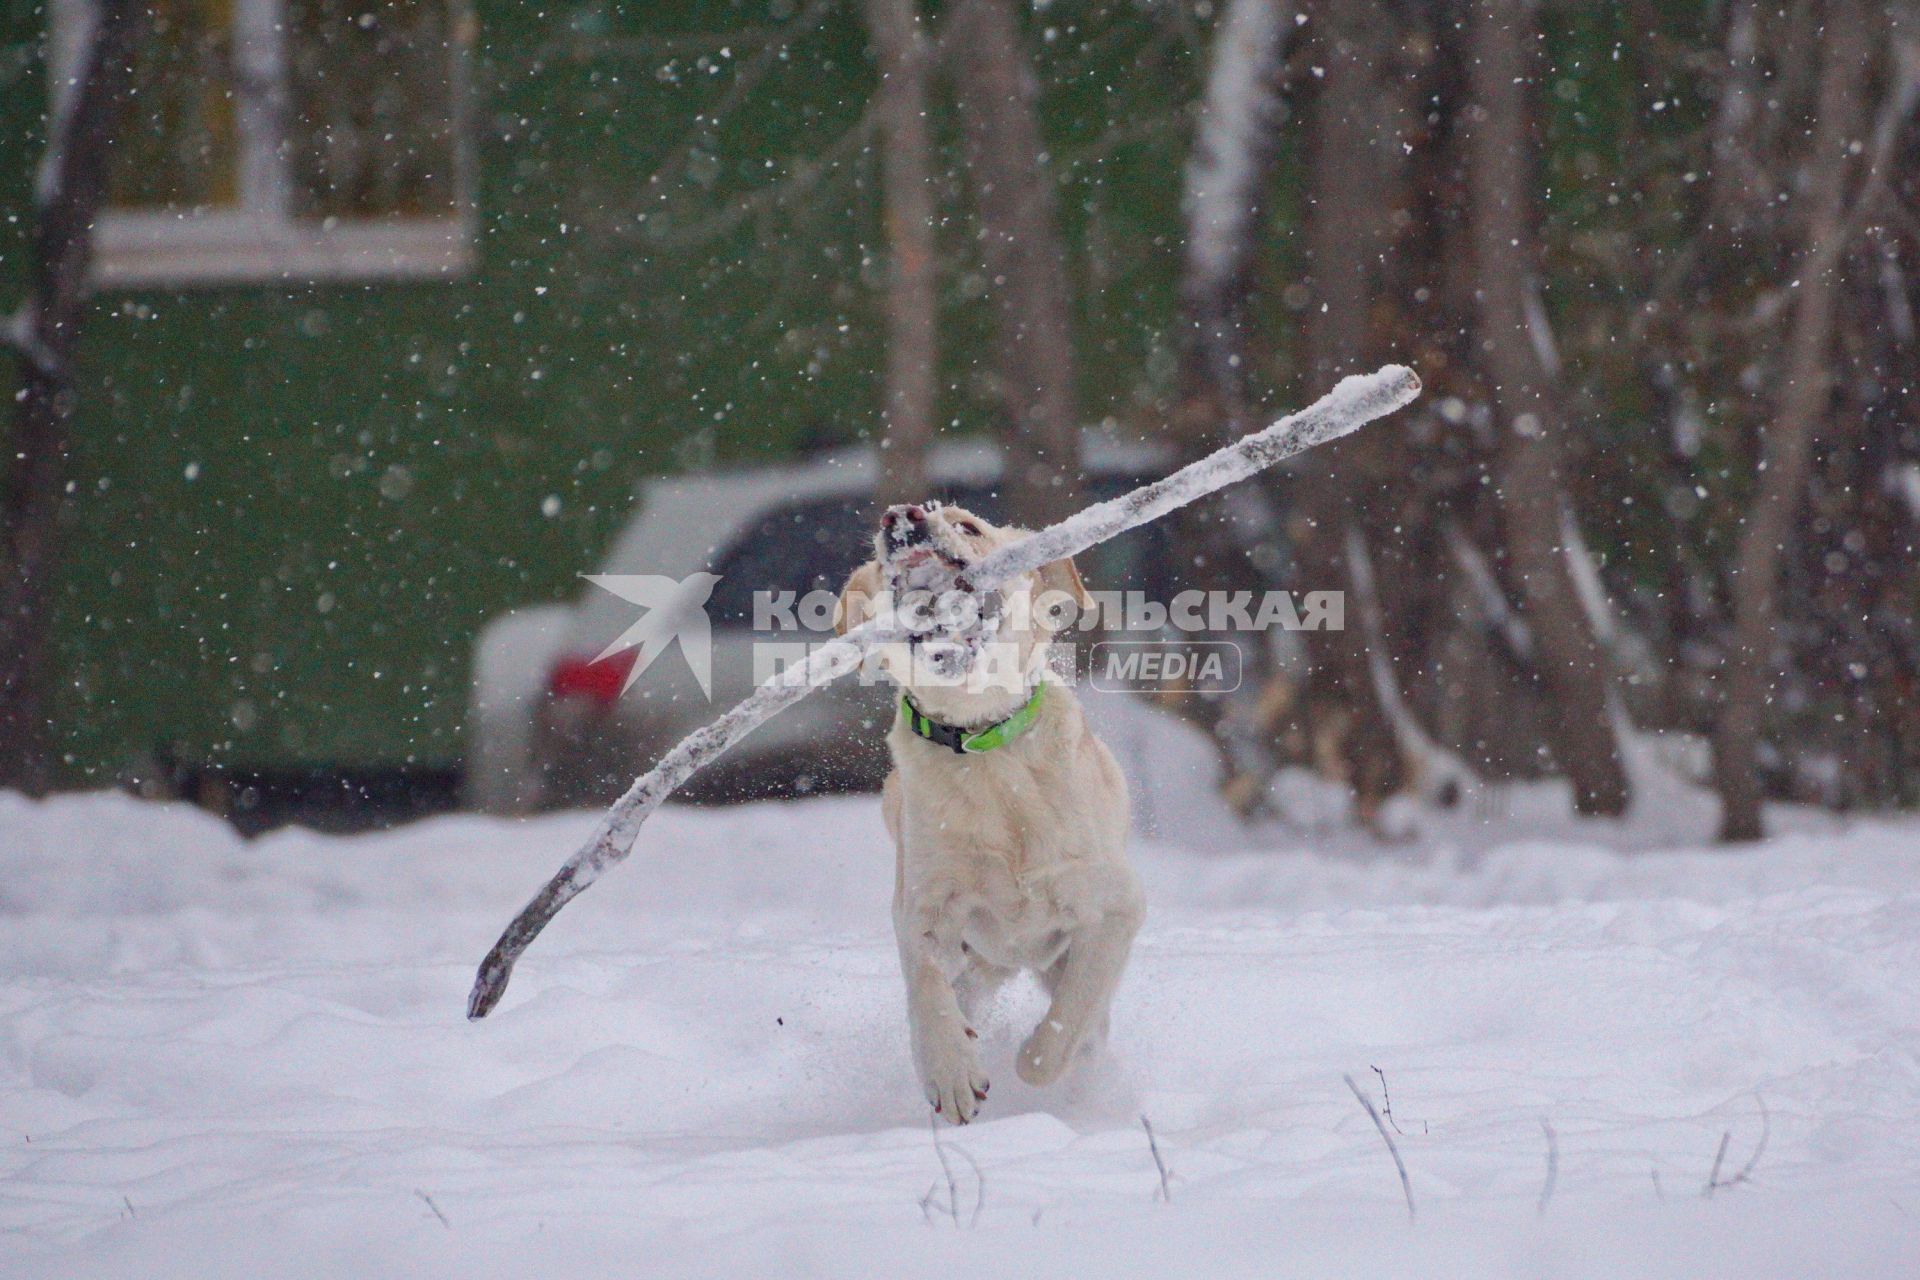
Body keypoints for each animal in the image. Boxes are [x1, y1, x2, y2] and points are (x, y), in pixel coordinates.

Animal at [837, 498, 1136, 1120]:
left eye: (968, 526)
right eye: (877, 563)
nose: (899, 516)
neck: (984, 746)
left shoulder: (1116, 908)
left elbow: (1068, 1023)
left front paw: (1033, 1066)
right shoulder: (920, 907)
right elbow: (926, 988)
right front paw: (950, 1072)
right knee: (963, 988)